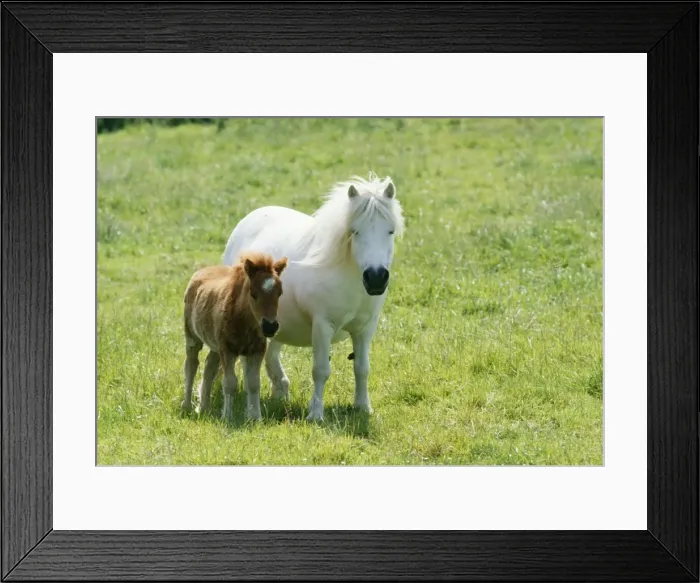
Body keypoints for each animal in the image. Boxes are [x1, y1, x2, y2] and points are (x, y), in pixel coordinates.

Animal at [181, 251, 287, 422]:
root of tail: (200, 272)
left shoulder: (256, 351)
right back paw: (187, 405)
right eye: (253, 294)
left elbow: (253, 383)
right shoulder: (228, 350)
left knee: (209, 367)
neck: (244, 321)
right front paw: (227, 417)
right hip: (192, 336)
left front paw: (255, 417)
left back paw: (204, 407)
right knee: (191, 364)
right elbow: (230, 383)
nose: (270, 326)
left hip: (215, 346)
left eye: (280, 293)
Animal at [222, 173, 404, 421]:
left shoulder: (366, 328)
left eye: (390, 231)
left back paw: (280, 390)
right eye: (355, 231)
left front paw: (363, 407)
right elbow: (320, 371)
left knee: (272, 353)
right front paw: (316, 414)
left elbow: (362, 368)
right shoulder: (323, 326)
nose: (376, 278)